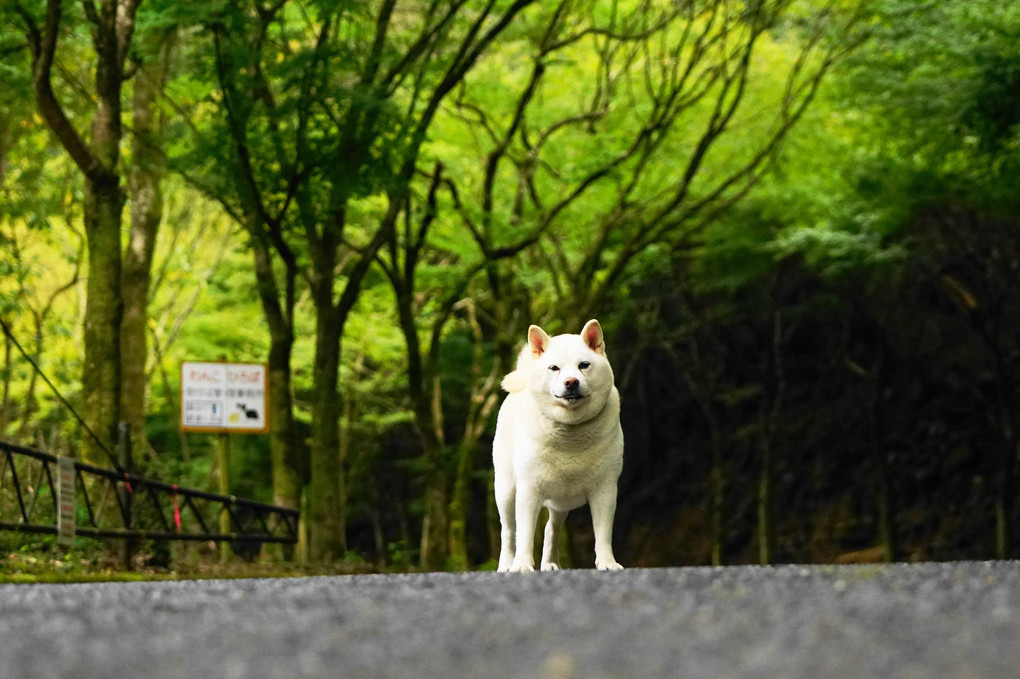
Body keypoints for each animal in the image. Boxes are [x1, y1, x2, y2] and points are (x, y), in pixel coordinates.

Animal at [491, 318, 624, 570]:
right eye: (554, 368)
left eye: (584, 365)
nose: (571, 382)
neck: (570, 433)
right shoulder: (529, 489)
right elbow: (524, 532)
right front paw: (522, 565)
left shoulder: (605, 489)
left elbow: (603, 533)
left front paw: (607, 563)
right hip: (505, 490)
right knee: (508, 531)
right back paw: (506, 565)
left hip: (561, 502)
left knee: (551, 528)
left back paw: (550, 563)